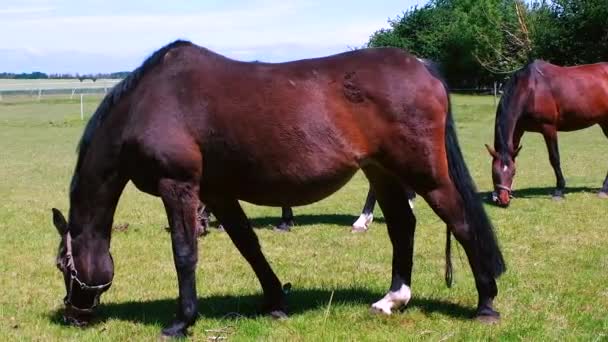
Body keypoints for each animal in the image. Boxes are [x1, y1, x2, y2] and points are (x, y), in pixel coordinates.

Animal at [51, 40, 504, 336]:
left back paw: (485, 303)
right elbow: (248, 244)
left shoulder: (178, 186)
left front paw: (182, 320)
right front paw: (275, 301)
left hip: (423, 172)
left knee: (461, 222)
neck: (148, 104)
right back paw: (392, 299)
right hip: (382, 171)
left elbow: (184, 253)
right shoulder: (217, 192)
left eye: (62, 265)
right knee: (401, 227)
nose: (73, 314)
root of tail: (421, 66)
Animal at [486, 58, 608, 206]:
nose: (503, 200)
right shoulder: (519, 129)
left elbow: (554, 158)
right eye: (494, 172)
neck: (530, 89)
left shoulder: (548, 128)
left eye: (513, 173)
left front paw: (559, 191)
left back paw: (604, 190)